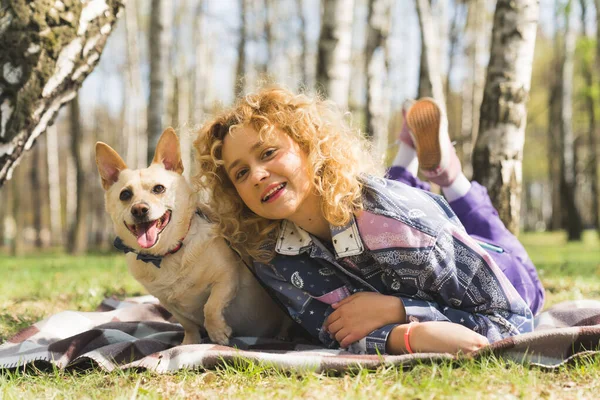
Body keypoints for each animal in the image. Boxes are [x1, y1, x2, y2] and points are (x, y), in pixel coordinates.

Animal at [95, 128, 290, 344]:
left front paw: (217, 332)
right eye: (125, 195)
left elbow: (210, 307)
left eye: (159, 188)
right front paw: (190, 342)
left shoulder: (227, 279)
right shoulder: (167, 302)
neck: (169, 252)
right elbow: (187, 324)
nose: (139, 209)